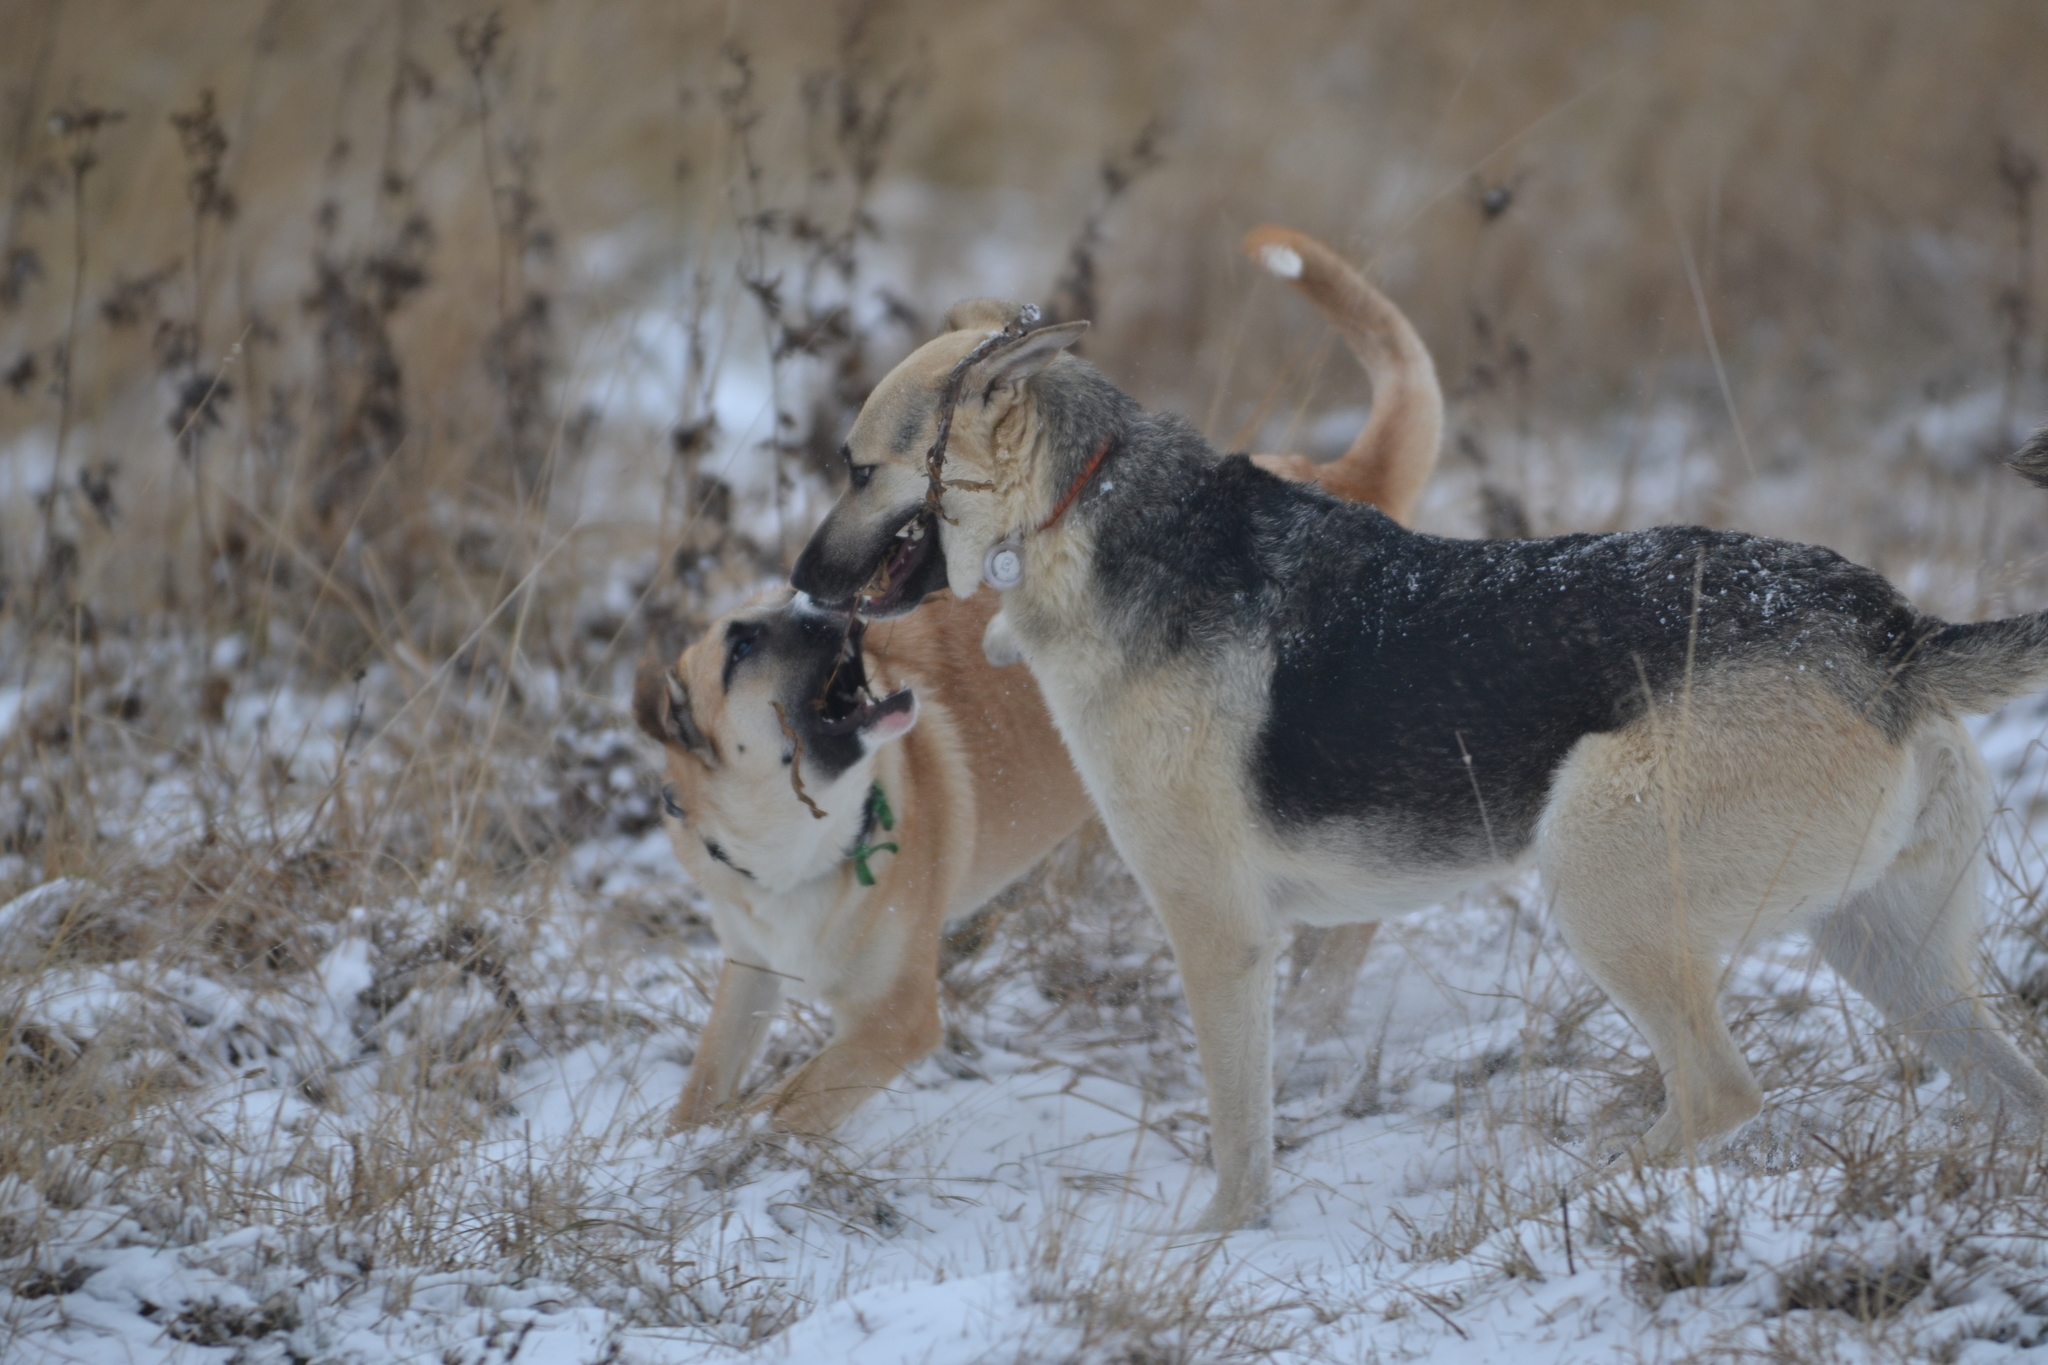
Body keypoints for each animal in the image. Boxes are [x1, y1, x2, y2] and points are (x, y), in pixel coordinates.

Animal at [634, 229, 1441, 1137]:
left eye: (860, 471)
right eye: (740, 642)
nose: (812, 595)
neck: (796, 850)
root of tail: (1338, 474)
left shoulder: (894, 1020)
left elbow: (779, 1110)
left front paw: (730, 1156)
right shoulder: (748, 973)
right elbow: (703, 1093)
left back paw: (1314, 1016)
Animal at [790, 274, 2048, 1227]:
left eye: (856, 469)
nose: (799, 587)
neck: (1077, 514)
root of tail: (1894, 635)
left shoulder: (1217, 936)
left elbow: (1239, 1136)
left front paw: (1217, 1241)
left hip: (1601, 879)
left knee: (1716, 1095)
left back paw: (1544, 1211)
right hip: (1891, 955)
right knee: (2004, 1094)